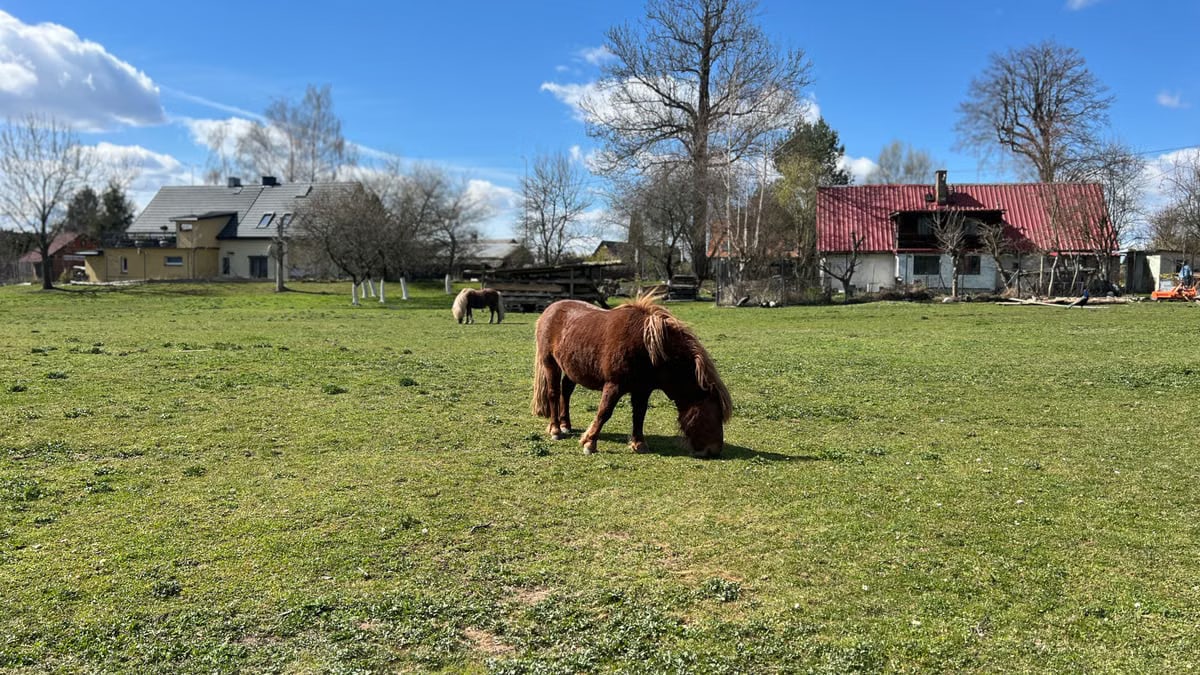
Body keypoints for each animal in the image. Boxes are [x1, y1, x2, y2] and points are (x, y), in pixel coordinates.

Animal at [531, 294, 732, 457]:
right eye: (714, 416)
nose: (714, 450)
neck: (648, 349)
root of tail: (550, 310)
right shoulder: (614, 385)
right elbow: (604, 412)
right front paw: (589, 443)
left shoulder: (642, 389)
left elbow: (639, 414)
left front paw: (638, 443)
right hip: (550, 363)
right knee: (553, 394)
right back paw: (556, 429)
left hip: (571, 368)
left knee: (565, 392)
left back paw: (566, 425)